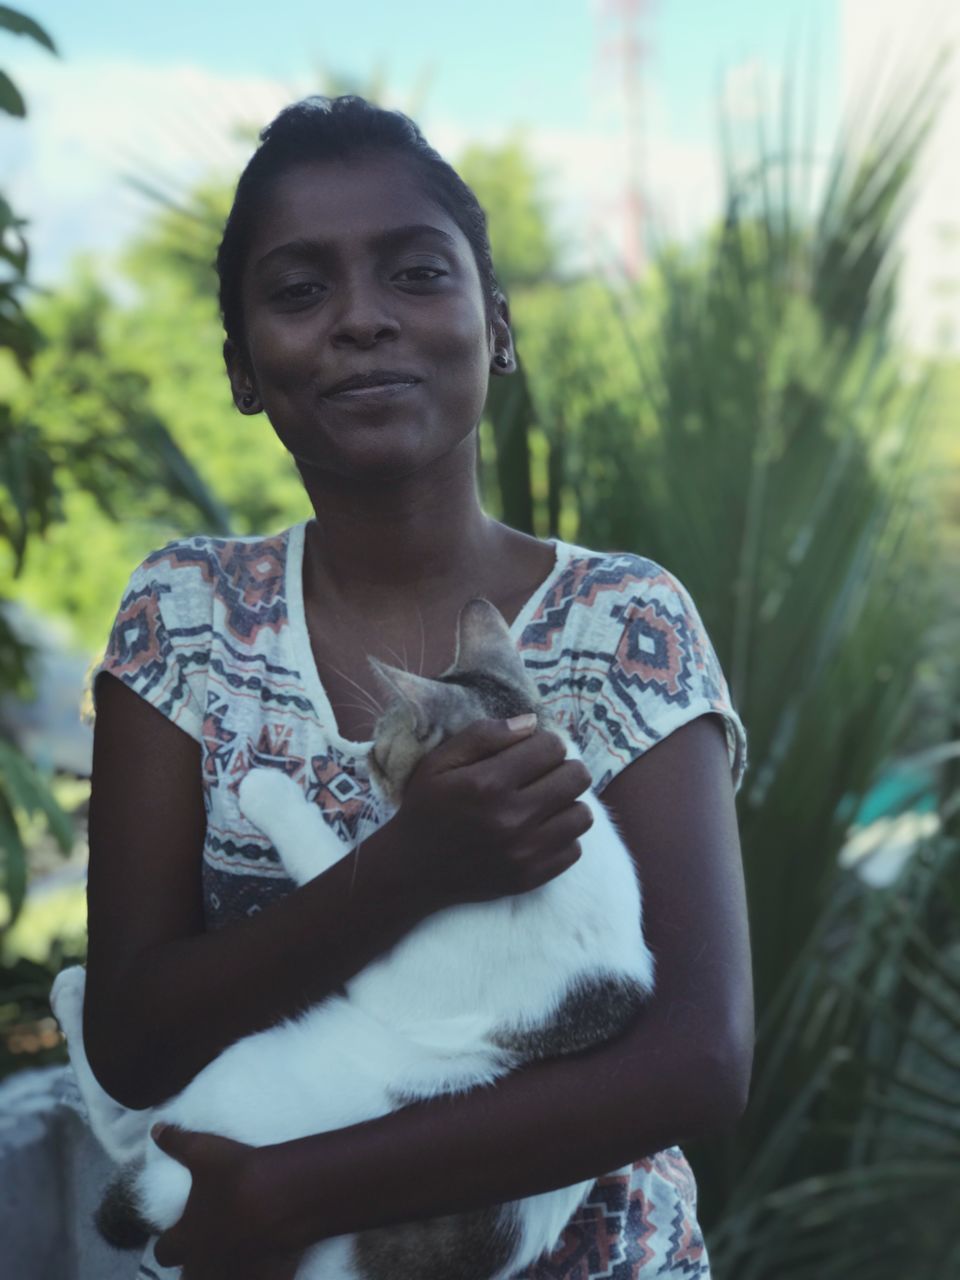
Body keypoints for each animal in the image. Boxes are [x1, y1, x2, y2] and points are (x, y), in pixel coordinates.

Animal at [50, 599, 655, 1280]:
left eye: (381, 756)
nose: (363, 765)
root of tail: (174, 1194)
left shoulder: (391, 971)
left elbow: (333, 863)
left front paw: (271, 794)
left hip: (233, 1076)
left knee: (131, 1131)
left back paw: (71, 997)